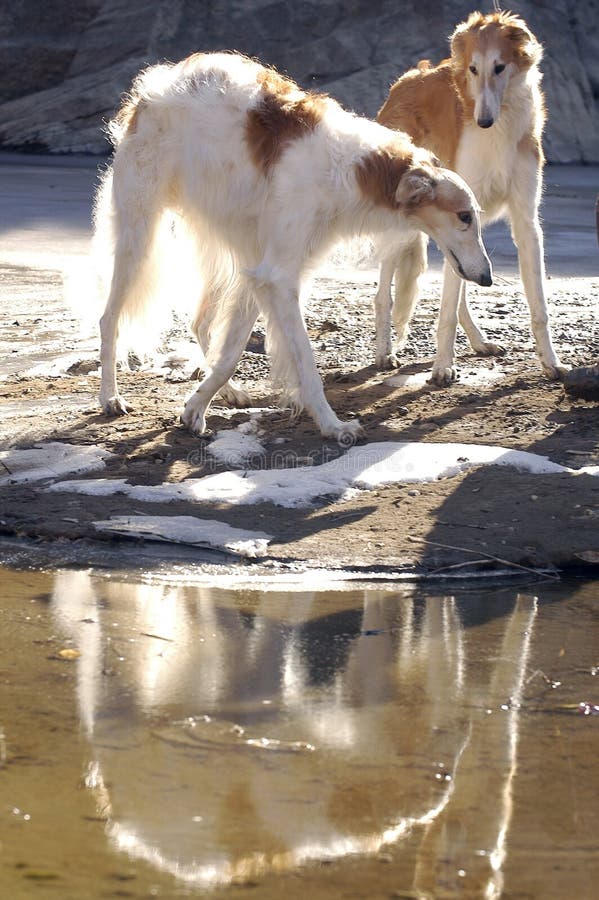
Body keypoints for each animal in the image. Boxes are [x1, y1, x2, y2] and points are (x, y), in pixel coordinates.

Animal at [97, 51, 492, 442]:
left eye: (475, 216)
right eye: (464, 217)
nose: (487, 277)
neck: (351, 169)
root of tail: (156, 84)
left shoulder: (264, 272)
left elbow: (231, 355)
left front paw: (194, 409)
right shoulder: (278, 276)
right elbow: (304, 361)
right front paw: (333, 425)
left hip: (235, 248)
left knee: (201, 323)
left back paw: (227, 393)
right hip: (139, 234)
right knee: (109, 318)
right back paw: (110, 397)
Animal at [376, 10, 568, 384]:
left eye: (500, 67)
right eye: (473, 69)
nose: (483, 121)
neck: (501, 129)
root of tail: (403, 82)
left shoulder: (524, 222)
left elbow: (539, 307)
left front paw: (551, 362)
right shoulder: (460, 213)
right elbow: (447, 307)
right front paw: (441, 367)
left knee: (463, 282)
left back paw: (479, 341)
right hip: (404, 227)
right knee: (382, 296)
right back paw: (384, 353)